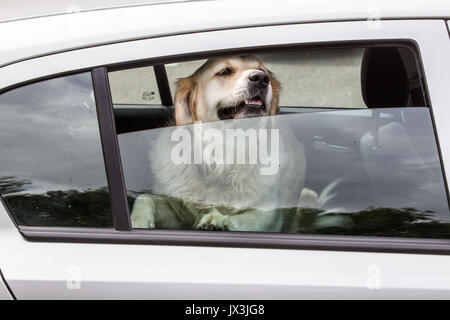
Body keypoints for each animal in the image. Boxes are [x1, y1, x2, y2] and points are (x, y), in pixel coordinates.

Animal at [128, 55, 322, 232]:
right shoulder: (179, 218)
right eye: (224, 72)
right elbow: (145, 198)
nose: (260, 78)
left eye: (264, 72)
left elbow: (242, 219)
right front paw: (138, 221)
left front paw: (217, 221)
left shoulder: (270, 217)